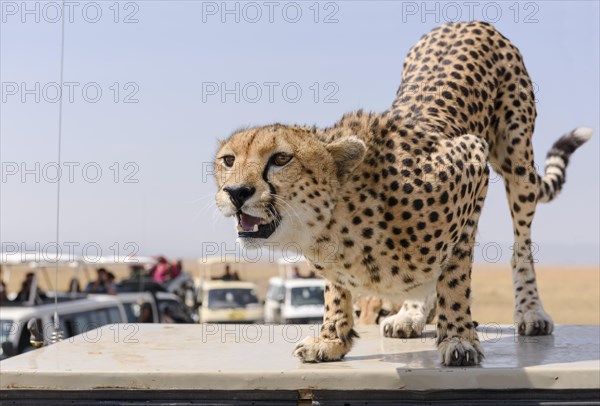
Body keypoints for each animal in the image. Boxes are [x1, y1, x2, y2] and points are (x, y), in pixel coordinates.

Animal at [216, 20, 592, 366]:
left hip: (517, 161)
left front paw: (457, 337)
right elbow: (337, 290)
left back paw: (530, 311)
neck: (339, 220)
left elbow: (455, 274)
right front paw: (331, 338)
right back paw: (411, 313)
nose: (235, 192)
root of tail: (468, 21)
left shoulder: (474, 163)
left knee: (521, 244)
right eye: (228, 160)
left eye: (281, 159)